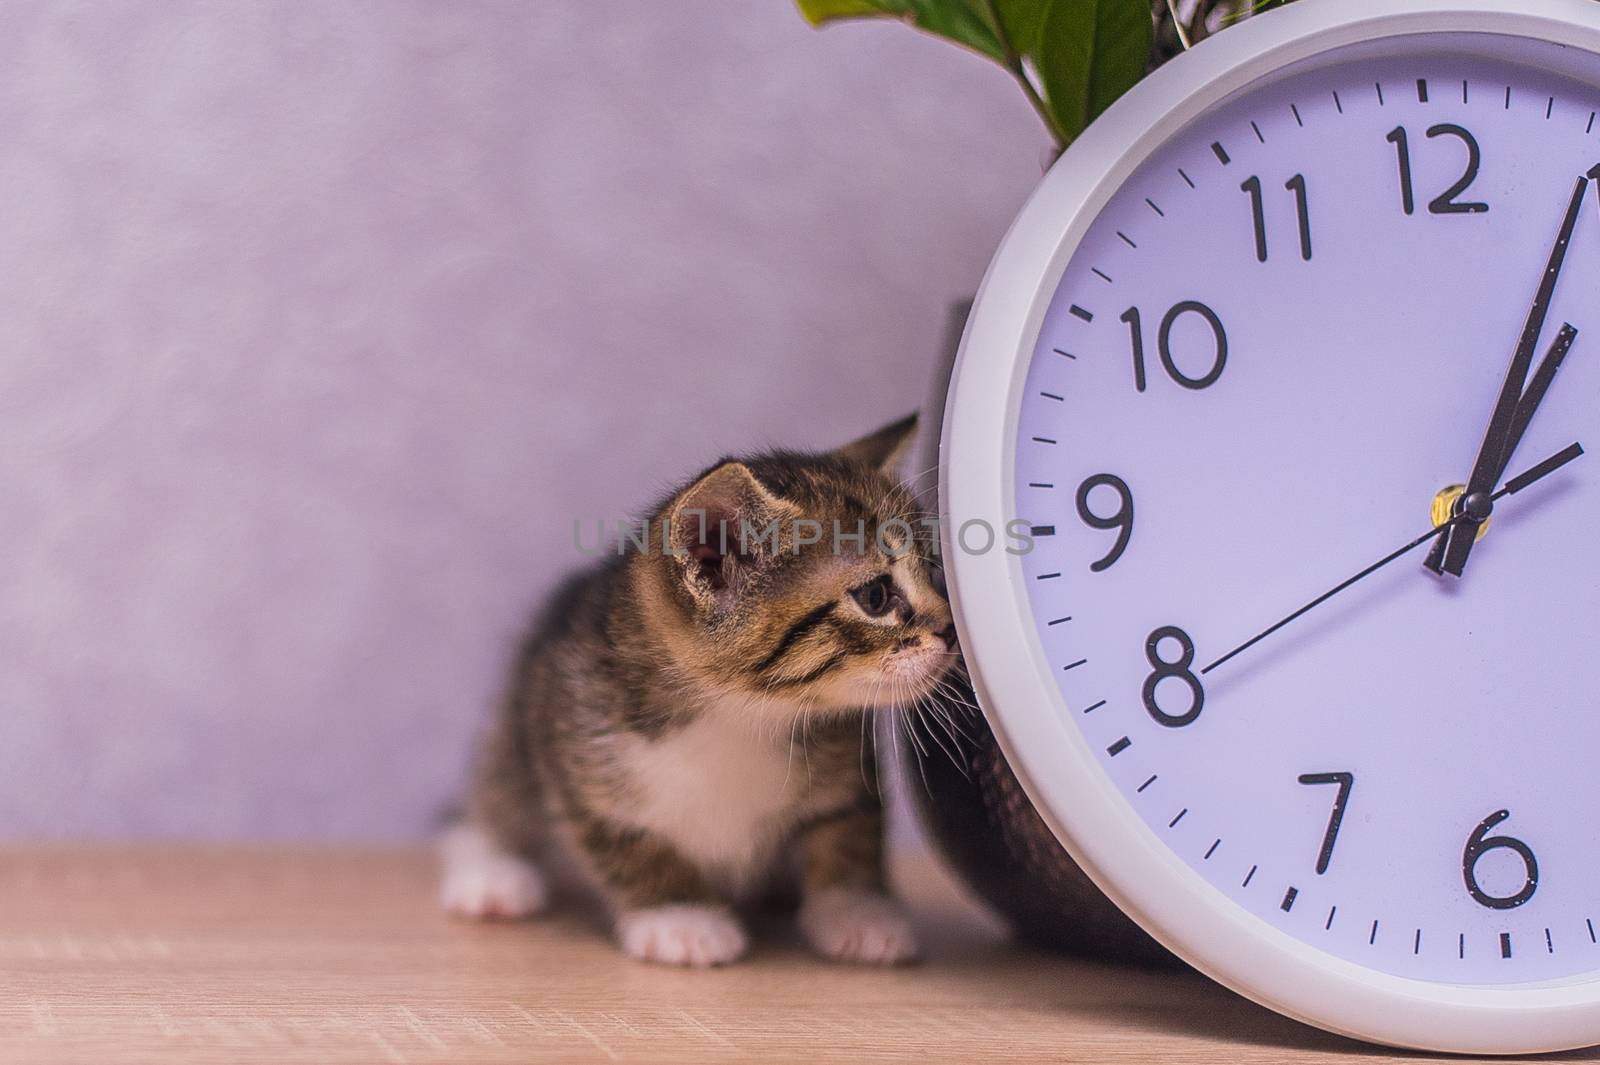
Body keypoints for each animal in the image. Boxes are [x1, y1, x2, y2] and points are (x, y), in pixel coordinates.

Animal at [438, 415, 953, 959]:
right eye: (876, 596)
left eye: (932, 570)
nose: (951, 630)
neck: (741, 714)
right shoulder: (572, 738)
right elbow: (625, 839)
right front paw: (679, 916)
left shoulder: (850, 760)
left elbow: (847, 827)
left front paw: (857, 910)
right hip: (519, 711)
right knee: (493, 789)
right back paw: (489, 870)